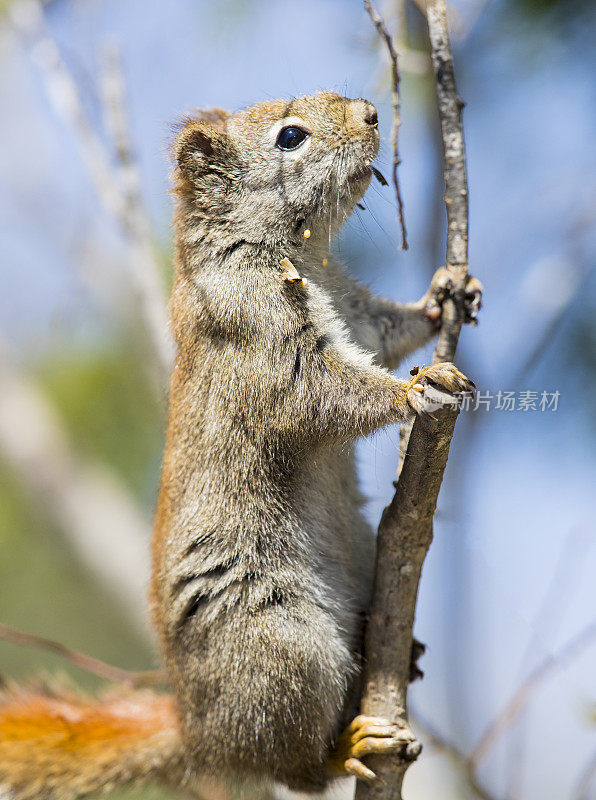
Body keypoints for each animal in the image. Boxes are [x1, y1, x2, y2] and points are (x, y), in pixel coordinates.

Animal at [0, 90, 480, 796]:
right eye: (290, 137)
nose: (370, 114)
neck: (290, 255)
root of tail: (201, 734)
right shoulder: (255, 334)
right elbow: (322, 396)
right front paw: (413, 390)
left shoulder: (354, 312)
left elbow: (384, 329)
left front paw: (442, 295)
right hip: (283, 651)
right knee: (295, 766)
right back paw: (350, 744)